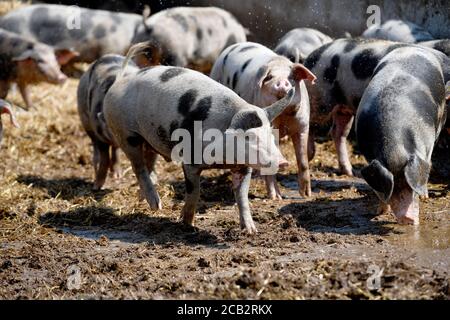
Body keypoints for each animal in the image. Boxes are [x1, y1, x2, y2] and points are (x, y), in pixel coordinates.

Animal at [77, 54, 138, 190]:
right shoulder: (98, 131)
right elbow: (104, 158)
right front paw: (96, 187)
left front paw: (116, 177)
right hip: (85, 120)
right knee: (96, 148)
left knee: (115, 150)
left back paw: (117, 175)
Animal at [104, 43, 298, 232]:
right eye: (249, 136)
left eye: (271, 134)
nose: (283, 162)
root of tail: (119, 81)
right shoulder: (190, 161)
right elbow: (194, 191)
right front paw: (187, 224)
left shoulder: (244, 167)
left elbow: (242, 197)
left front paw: (251, 231)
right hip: (126, 134)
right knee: (138, 167)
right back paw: (156, 206)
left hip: (150, 138)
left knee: (148, 163)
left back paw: (147, 200)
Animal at [209, 41, 314, 199]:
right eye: (269, 77)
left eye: (291, 77)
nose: (282, 82)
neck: (283, 117)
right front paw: (275, 198)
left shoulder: (302, 125)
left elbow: (303, 161)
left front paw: (307, 195)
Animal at [356, 46, 448, 225]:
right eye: (394, 186)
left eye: (409, 186)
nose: (407, 218)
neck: (393, 145)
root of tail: (414, 47)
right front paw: (379, 212)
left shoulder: (425, 146)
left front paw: (423, 197)